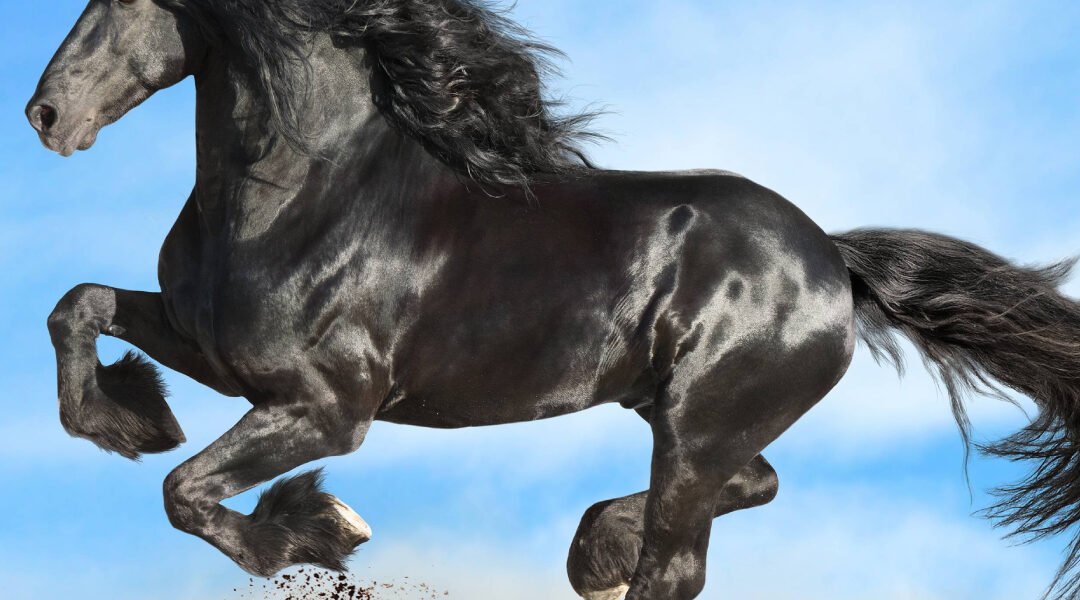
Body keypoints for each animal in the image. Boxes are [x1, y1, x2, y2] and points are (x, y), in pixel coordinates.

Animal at [25, 1, 1080, 599]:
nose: (45, 113)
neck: (304, 190)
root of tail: (832, 257)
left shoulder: (327, 409)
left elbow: (186, 493)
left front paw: (321, 528)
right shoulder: (215, 348)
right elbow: (78, 307)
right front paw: (133, 419)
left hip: (700, 425)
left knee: (681, 563)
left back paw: (604, 555)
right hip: (682, 417)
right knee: (749, 485)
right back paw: (594, 550)